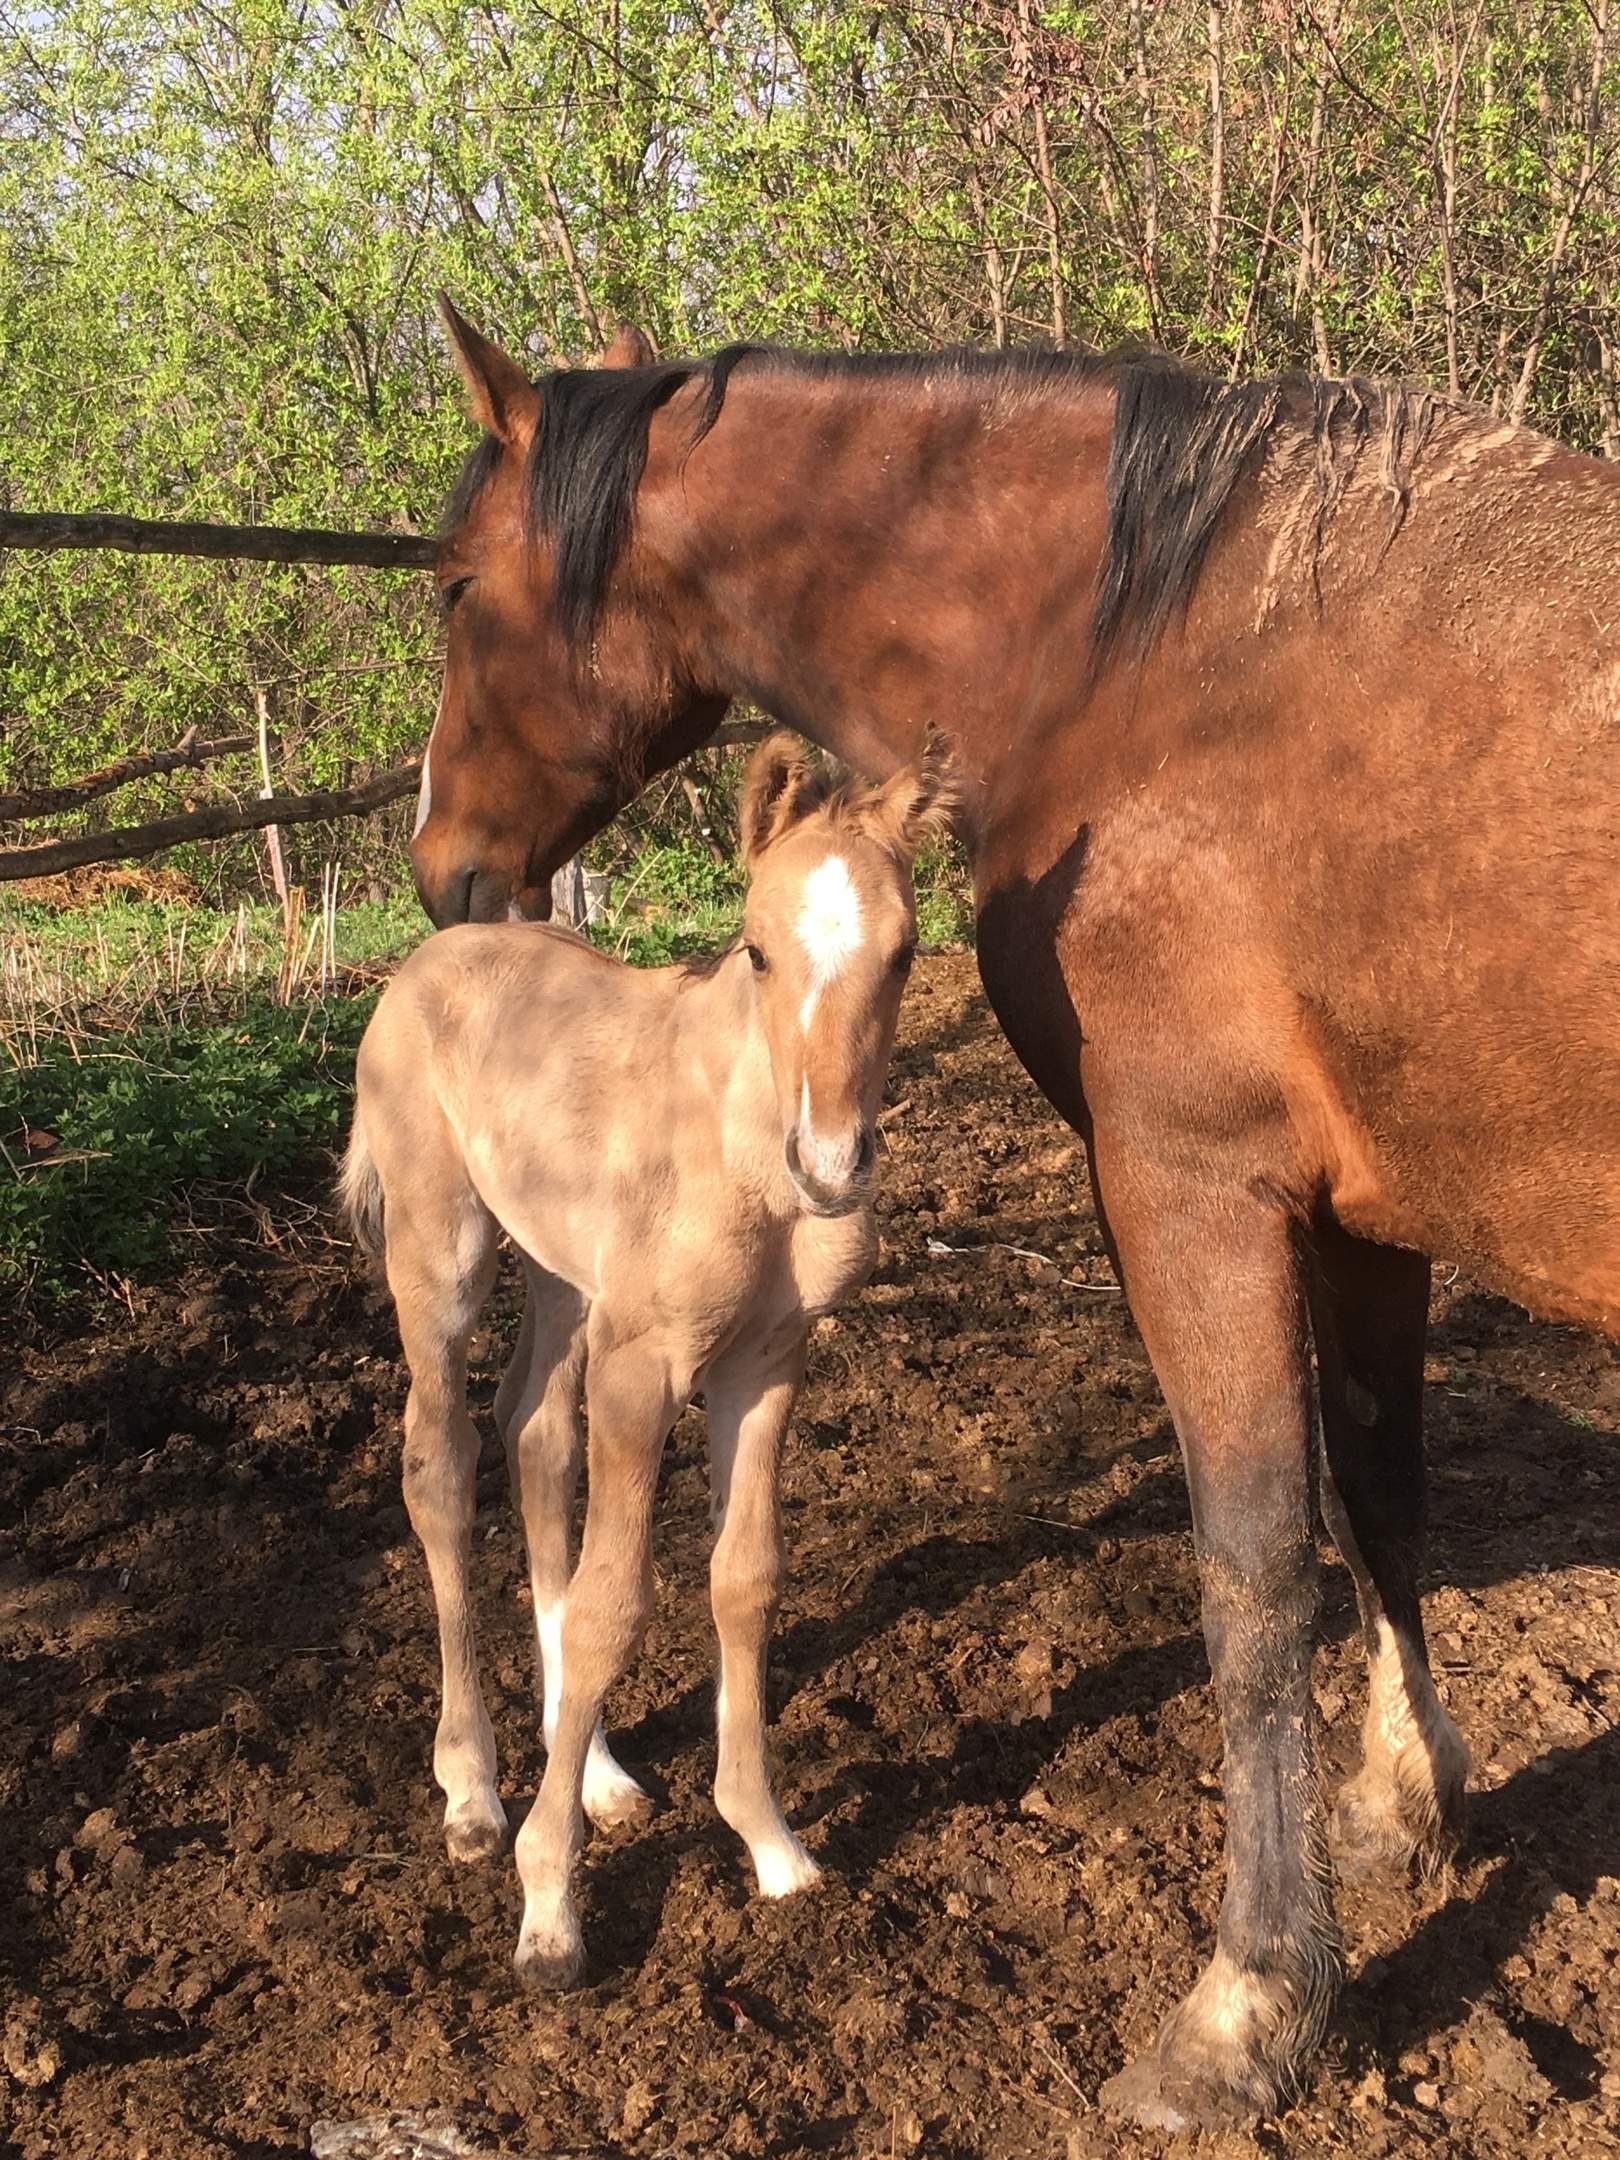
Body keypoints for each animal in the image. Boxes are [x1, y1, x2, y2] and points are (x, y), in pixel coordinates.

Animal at [343, 738, 950, 1987]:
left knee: (531, 1436)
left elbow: (742, 1576)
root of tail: (430, 955)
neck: (745, 1150)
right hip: (444, 1256)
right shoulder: (645, 1368)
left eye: (907, 950)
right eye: (756, 947)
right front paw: (548, 1908)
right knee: (440, 1465)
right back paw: (472, 1789)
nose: (831, 1163)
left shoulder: (765, 1362)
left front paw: (769, 1843)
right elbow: (617, 1602)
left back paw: (600, 1774)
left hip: (567, 1280)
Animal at [408, 304, 1620, 2125]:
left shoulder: (1193, 1188)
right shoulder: (1362, 1223)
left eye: (455, 588)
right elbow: (1382, 1499)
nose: (442, 873)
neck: (1166, 657)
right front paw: (1406, 1805)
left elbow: (1255, 1569)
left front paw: (1251, 2004)